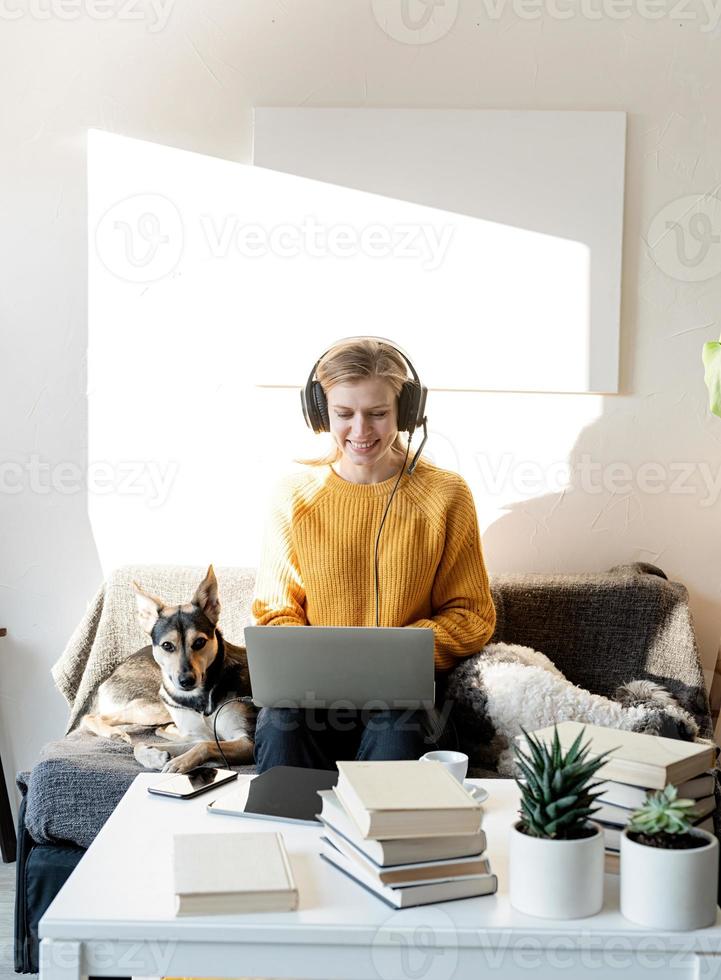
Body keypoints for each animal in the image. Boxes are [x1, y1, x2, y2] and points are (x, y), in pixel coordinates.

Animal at [81, 568, 256, 772]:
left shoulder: (247, 741)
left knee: (159, 729)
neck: (200, 701)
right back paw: (115, 733)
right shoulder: (200, 734)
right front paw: (156, 757)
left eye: (199, 642)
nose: (186, 681)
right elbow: (139, 746)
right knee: (93, 716)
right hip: (156, 705)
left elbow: (204, 744)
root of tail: (115, 670)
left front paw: (177, 762)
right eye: (167, 645)